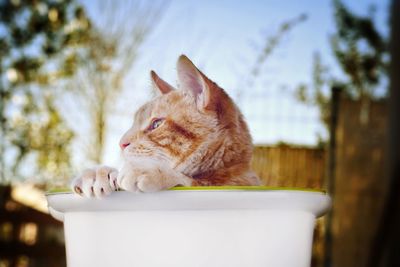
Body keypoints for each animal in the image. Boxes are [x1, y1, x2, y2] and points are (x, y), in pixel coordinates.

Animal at [71, 55, 260, 198]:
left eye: (157, 124)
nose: (121, 143)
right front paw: (98, 175)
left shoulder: (238, 184)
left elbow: (189, 181)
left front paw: (149, 170)